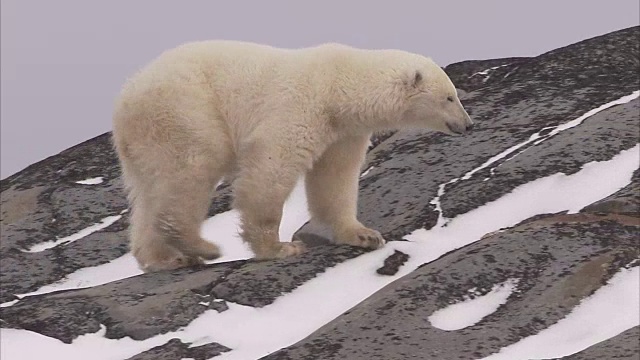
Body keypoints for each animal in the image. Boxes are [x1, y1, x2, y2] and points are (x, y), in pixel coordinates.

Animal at [110, 40, 472, 272]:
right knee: (192, 167)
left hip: (144, 143)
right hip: (185, 110)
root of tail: (125, 99)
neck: (338, 86)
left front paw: (365, 235)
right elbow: (271, 170)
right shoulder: (298, 108)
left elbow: (334, 180)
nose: (468, 124)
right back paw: (200, 246)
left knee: (148, 194)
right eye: (449, 97)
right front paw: (280, 248)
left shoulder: (342, 132)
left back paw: (165, 258)